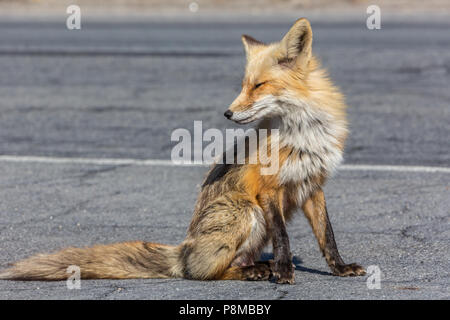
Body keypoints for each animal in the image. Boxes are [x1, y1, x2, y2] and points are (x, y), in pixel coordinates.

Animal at [0, 18, 366, 282]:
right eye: (243, 85)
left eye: (258, 86)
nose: (227, 113)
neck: (303, 134)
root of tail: (184, 250)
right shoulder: (269, 189)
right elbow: (283, 238)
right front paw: (286, 270)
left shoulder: (313, 185)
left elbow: (327, 237)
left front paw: (340, 268)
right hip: (246, 211)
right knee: (203, 273)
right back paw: (257, 271)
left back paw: (259, 267)